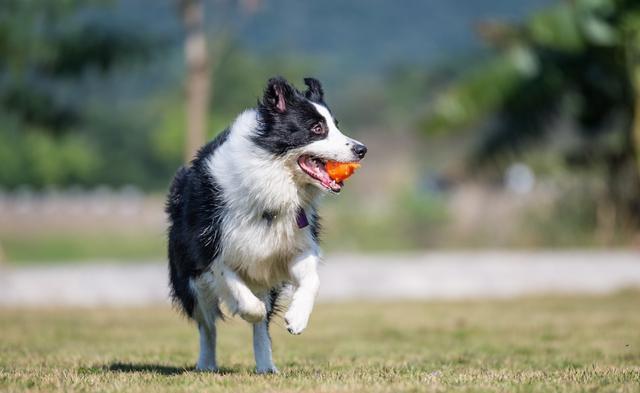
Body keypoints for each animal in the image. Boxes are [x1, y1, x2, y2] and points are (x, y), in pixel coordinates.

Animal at [166, 76, 364, 370]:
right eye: (317, 128)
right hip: (189, 278)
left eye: (336, 125)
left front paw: (297, 318)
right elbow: (233, 284)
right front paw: (250, 310)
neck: (273, 180)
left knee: (259, 325)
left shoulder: (294, 245)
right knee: (207, 324)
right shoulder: (211, 247)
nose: (362, 149)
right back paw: (207, 363)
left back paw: (266, 366)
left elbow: (312, 280)